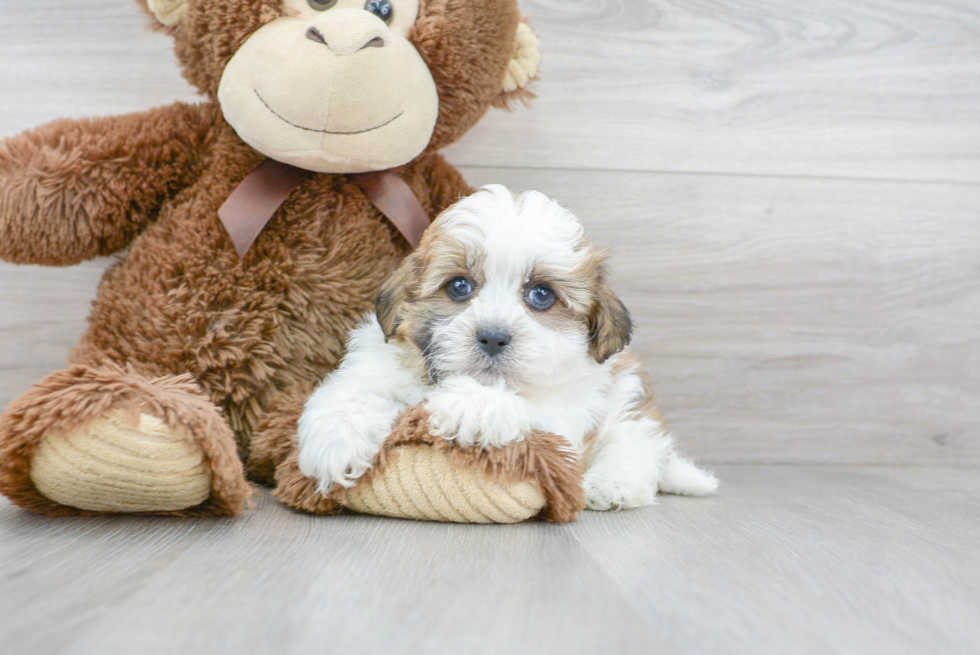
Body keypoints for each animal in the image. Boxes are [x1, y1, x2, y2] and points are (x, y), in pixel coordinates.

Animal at [294, 186, 716, 512]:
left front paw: (464, 403)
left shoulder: (568, 413)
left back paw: (612, 486)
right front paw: (335, 440)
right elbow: (353, 390)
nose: (493, 336)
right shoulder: (379, 360)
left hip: (629, 400)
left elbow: (522, 405)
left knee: (635, 443)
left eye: (541, 295)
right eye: (458, 286)